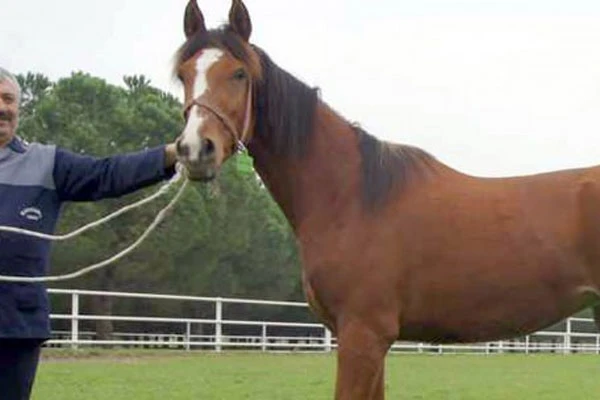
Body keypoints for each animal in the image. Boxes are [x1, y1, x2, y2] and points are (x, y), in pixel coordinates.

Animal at [171, 1, 600, 398]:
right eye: (183, 74)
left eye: (239, 73)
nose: (195, 149)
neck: (351, 196)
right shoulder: (367, 340)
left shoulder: (363, 334)